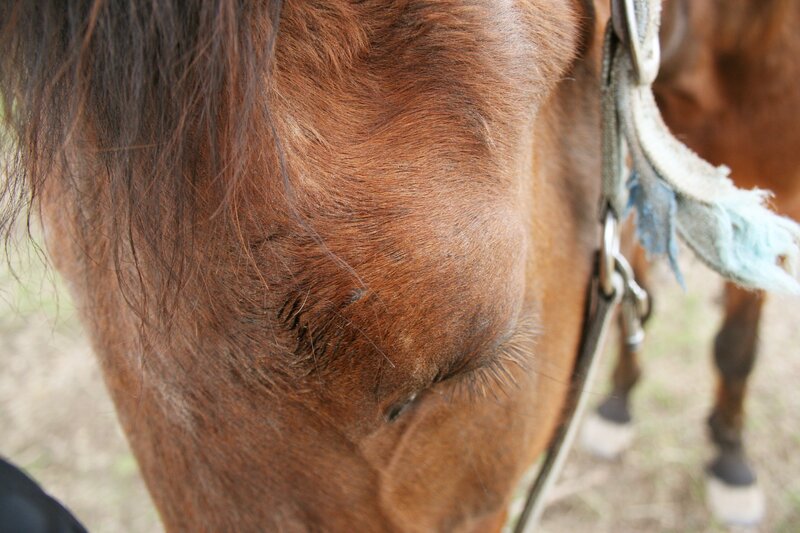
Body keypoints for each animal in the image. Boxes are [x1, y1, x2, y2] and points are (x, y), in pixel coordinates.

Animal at [582, 0, 800, 525]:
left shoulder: (775, 194)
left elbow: (736, 346)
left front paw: (730, 458)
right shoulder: (640, 186)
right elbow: (634, 307)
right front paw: (616, 405)